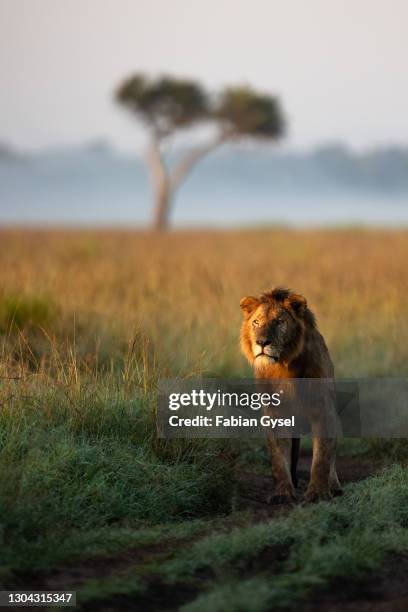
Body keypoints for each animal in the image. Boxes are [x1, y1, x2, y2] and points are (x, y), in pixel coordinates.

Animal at [239, 288, 342, 502]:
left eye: (279, 322)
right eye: (256, 322)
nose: (262, 342)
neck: (283, 367)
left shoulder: (323, 410)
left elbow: (322, 457)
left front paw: (317, 493)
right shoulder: (274, 414)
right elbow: (278, 457)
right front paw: (283, 493)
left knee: (333, 455)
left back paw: (334, 486)